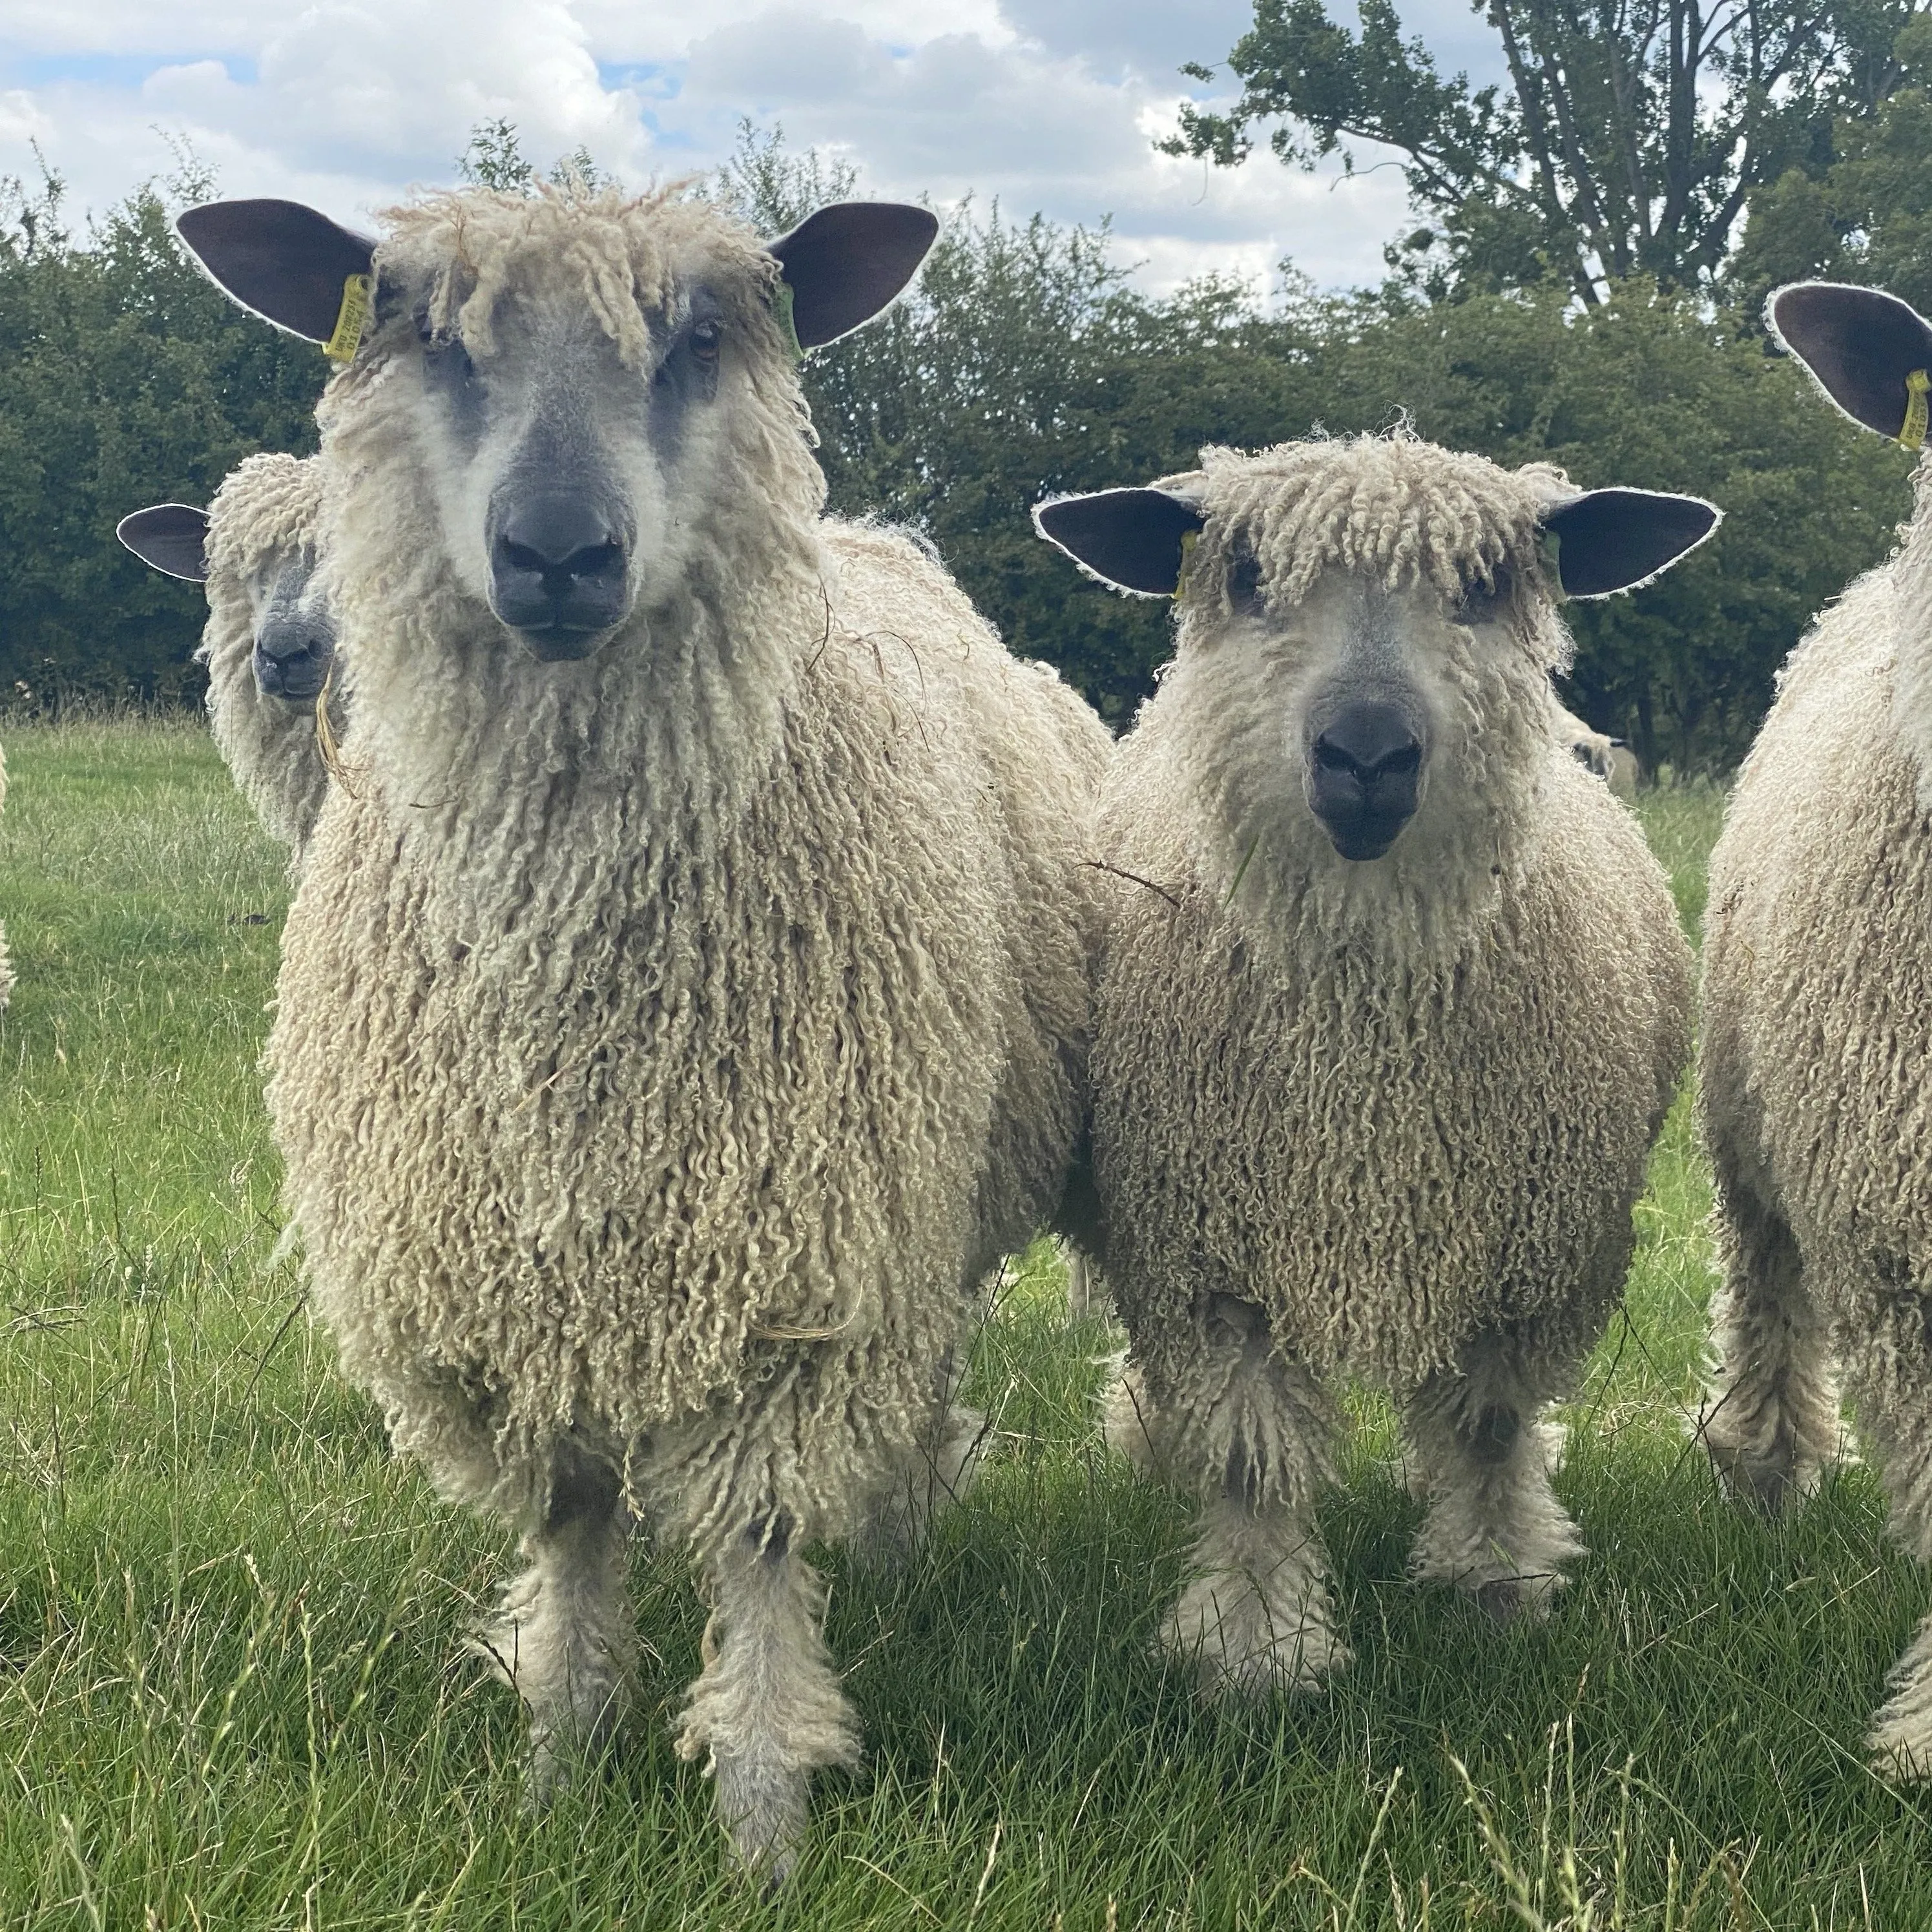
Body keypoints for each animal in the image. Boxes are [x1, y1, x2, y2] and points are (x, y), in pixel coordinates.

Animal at [182, 182, 1120, 1870]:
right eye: (432, 336)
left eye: (693, 341)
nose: (559, 550)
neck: (572, 974)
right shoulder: (507, 1283)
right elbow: (571, 1524)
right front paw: (560, 1761)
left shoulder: (795, 1264)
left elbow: (756, 1539)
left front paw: (761, 1817)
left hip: (919, 1204)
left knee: (917, 1382)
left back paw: (896, 1539)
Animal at [1043, 434, 1708, 1692]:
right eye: (1245, 575)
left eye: (1487, 584)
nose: (1365, 754)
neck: (1366, 1060)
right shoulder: (1207, 1252)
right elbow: (1249, 1462)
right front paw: (1256, 1645)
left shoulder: (1528, 1250)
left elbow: (1488, 1425)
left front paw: (1493, 1577)